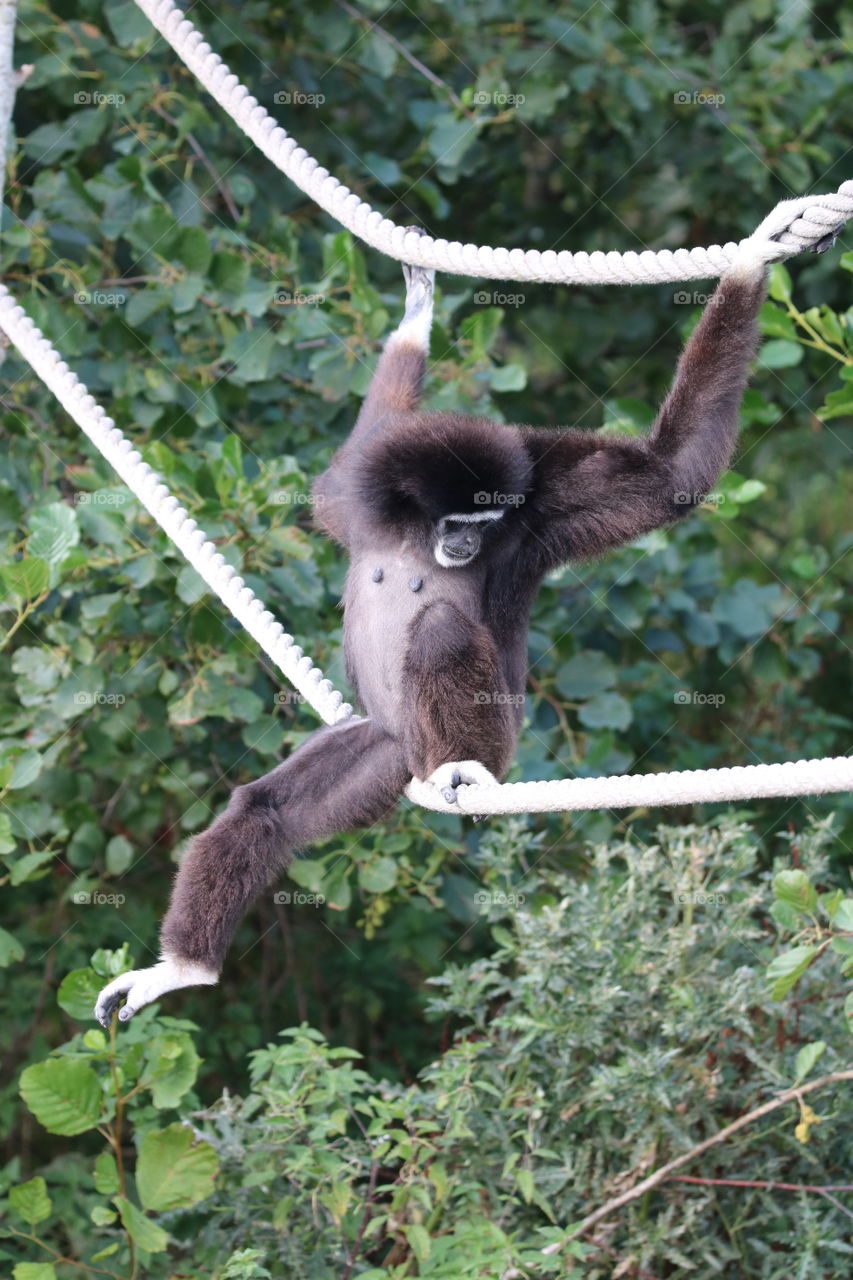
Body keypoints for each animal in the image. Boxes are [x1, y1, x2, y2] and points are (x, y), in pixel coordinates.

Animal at [95, 236, 771, 1028]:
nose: (464, 543)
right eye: (456, 519)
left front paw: (754, 255)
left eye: (484, 521)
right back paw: (182, 970)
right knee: (263, 810)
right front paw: (415, 316)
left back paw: (460, 768)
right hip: (382, 749)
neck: (414, 533)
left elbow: (672, 475)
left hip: (470, 740)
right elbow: (352, 458)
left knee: (444, 632)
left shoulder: (535, 516)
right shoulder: (357, 499)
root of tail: (409, 753)